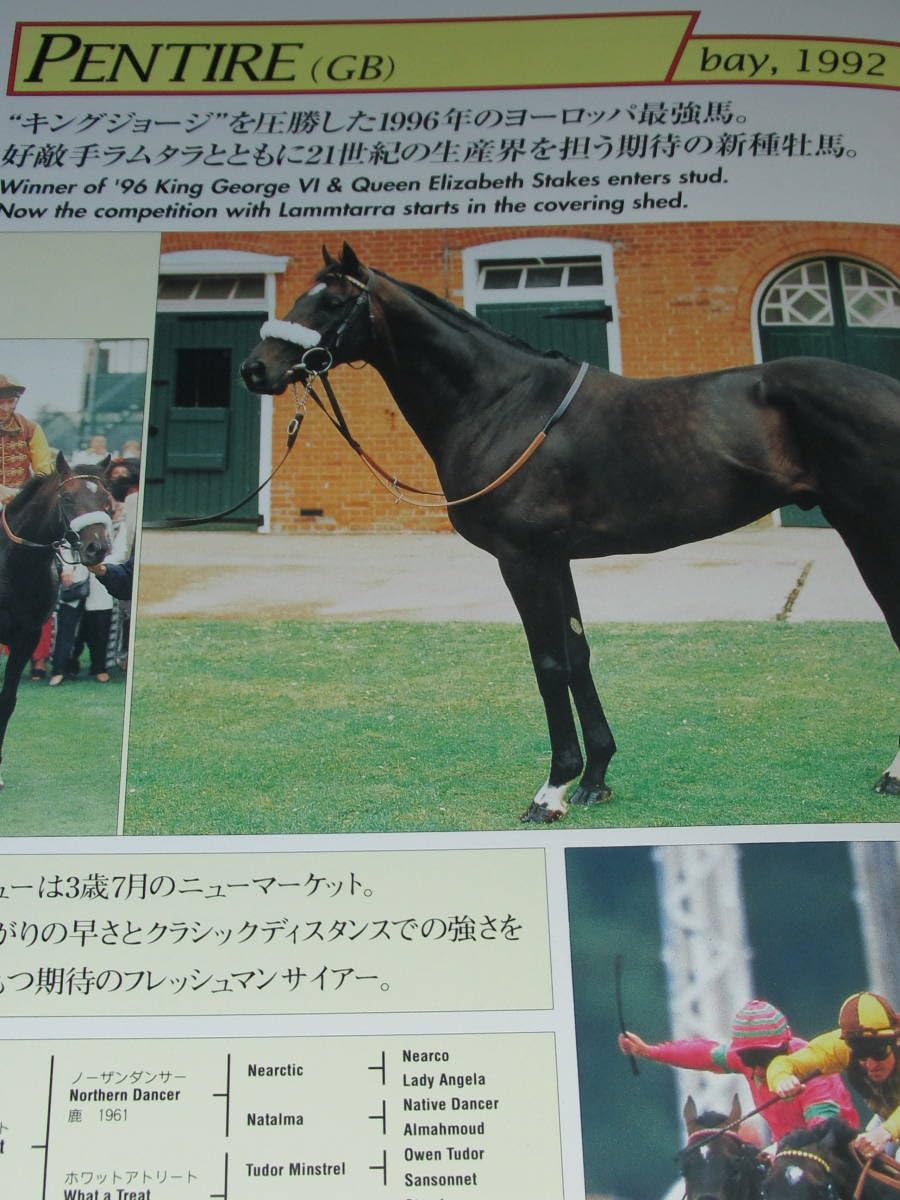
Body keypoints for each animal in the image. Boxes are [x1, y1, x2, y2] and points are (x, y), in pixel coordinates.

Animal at [241, 242, 900, 822]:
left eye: (330, 303)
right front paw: (595, 779)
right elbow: (579, 655)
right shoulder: (556, 559)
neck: (503, 404)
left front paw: (552, 790)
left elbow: (549, 662)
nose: (255, 369)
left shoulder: (522, 558)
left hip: (871, 531)